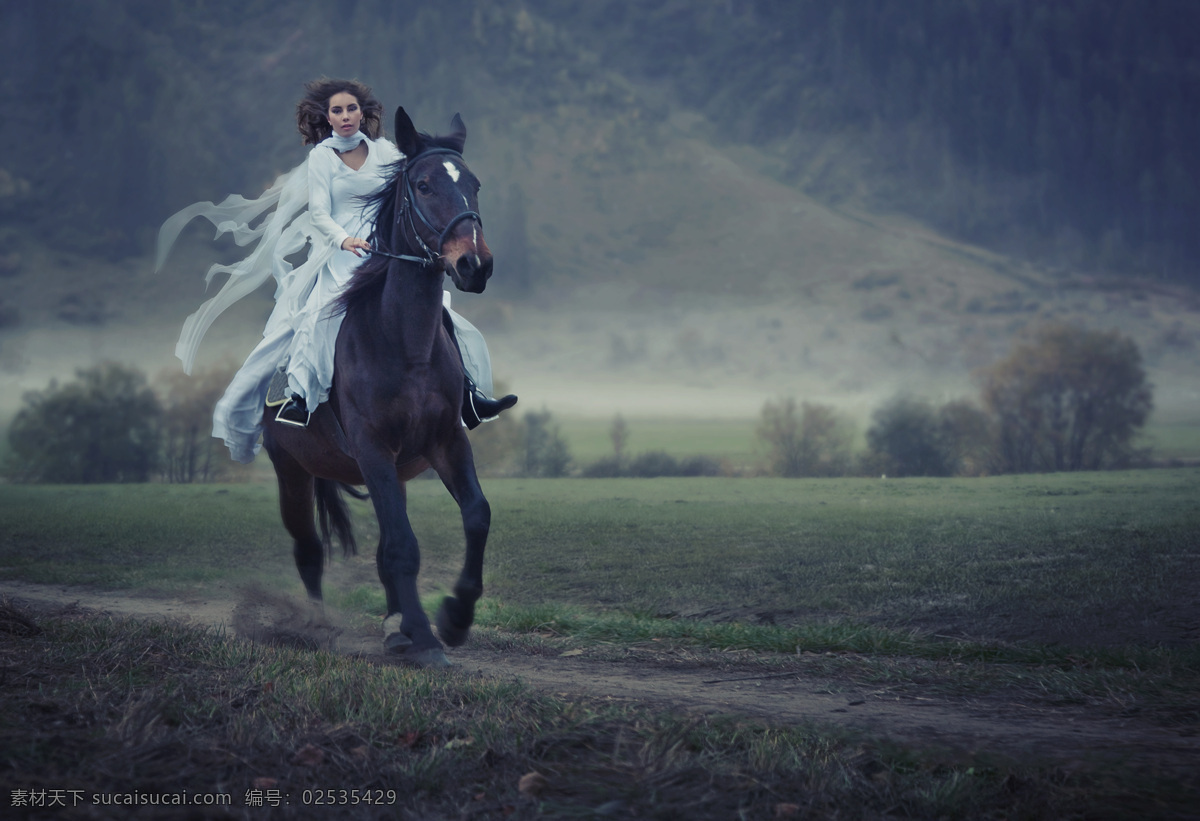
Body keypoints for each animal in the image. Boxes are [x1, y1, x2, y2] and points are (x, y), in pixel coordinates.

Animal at [266, 107, 496, 667]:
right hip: (291, 470)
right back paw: (320, 624)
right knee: (309, 550)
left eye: (475, 185)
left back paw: (395, 627)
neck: (403, 342)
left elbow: (475, 516)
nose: (475, 264)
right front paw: (427, 638)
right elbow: (402, 546)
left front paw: (454, 617)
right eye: (424, 184)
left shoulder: (444, 441)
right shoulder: (371, 447)